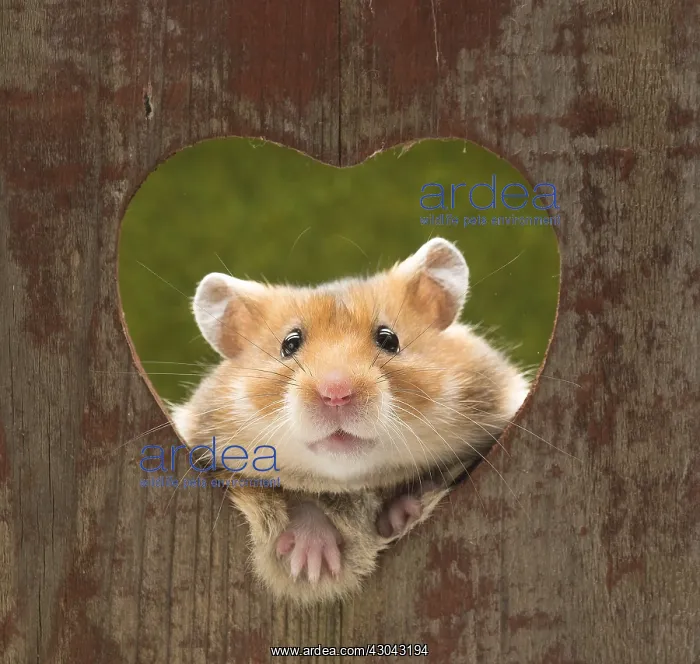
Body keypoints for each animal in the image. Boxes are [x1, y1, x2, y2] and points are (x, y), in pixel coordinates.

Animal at [170, 238, 530, 603]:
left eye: (388, 339)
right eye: (290, 344)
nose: (336, 393)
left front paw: (400, 515)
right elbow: (294, 499)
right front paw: (310, 566)